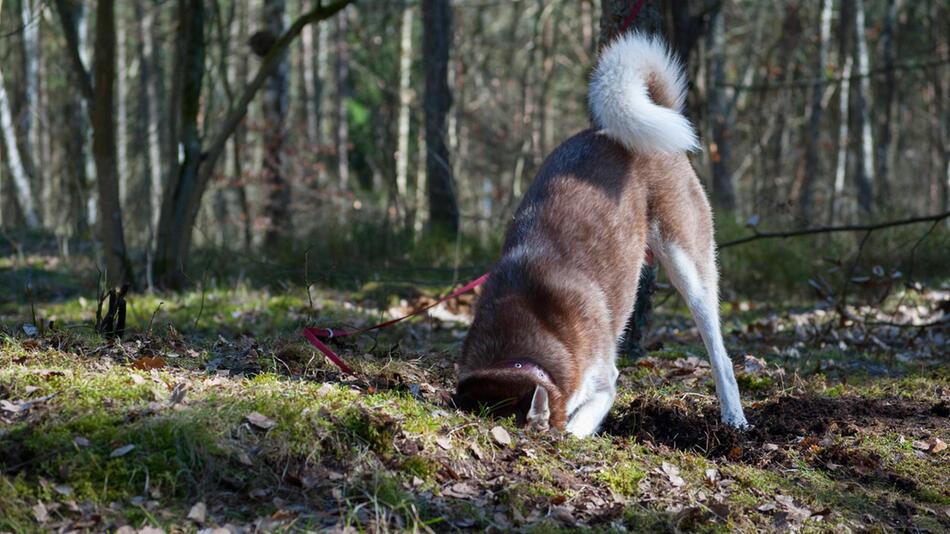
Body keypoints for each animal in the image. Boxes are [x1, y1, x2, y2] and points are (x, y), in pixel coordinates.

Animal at [454, 32, 752, 440]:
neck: (517, 350)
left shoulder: (603, 381)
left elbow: (577, 423)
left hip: (689, 266)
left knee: (720, 356)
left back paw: (734, 418)